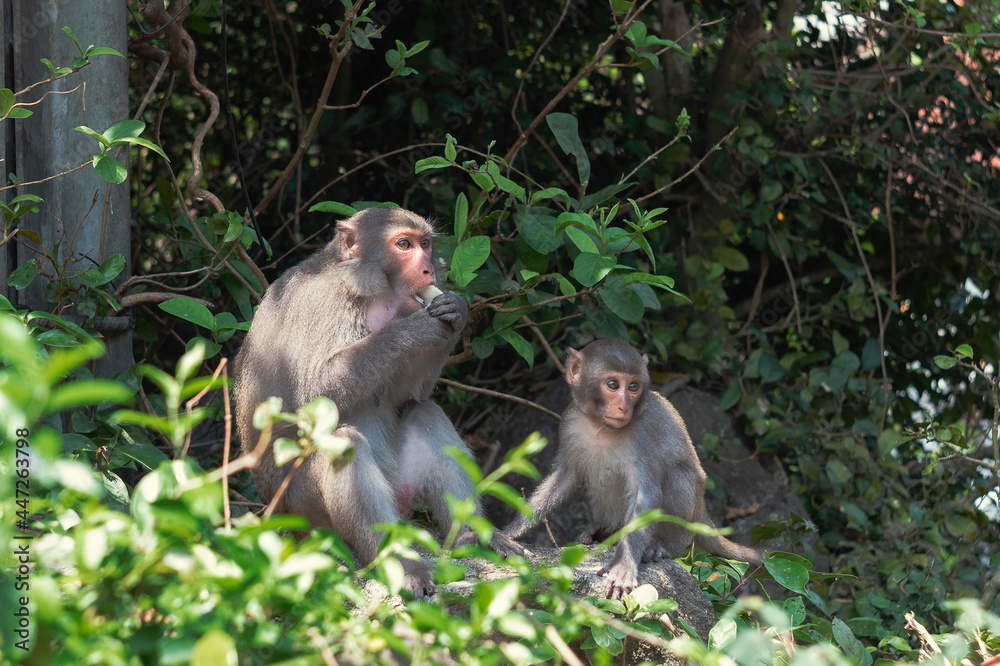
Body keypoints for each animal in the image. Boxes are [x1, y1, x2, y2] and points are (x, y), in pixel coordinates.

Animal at [233, 207, 517, 598]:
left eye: (425, 243)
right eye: (404, 245)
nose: (428, 269)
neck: (362, 291)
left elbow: (405, 396)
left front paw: (455, 312)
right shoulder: (320, 305)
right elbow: (312, 395)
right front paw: (416, 329)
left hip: (401, 486)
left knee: (425, 412)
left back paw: (474, 536)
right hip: (306, 512)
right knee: (343, 443)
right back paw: (399, 563)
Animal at [496, 339, 763, 599]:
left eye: (633, 387)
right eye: (613, 384)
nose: (624, 407)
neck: (601, 427)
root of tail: (702, 511)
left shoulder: (644, 433)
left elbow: (647, 494)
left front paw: (623, 566)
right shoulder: (570, 420)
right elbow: (564, 477)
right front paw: (508, 533)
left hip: (688, 519)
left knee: (679, 477)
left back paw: (662, 547)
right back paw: (604, 532)